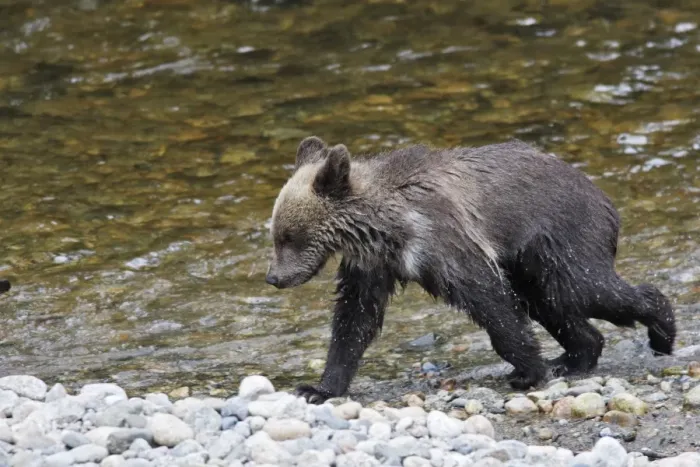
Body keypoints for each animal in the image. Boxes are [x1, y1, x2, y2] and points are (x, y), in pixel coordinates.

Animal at [265, 136, 676, 404]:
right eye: (275, 233)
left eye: (288, 235)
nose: (274, 277)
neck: (388, 228)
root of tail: (603, 196)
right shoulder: (371, 265)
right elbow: (354, 320)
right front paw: (318, 388)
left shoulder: (444, 241)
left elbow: (490, 301)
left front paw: (528, 370)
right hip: (530, 263)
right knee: (551, 305)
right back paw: (573, 360)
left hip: (561, 236)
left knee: (585, 289)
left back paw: (662, 332)